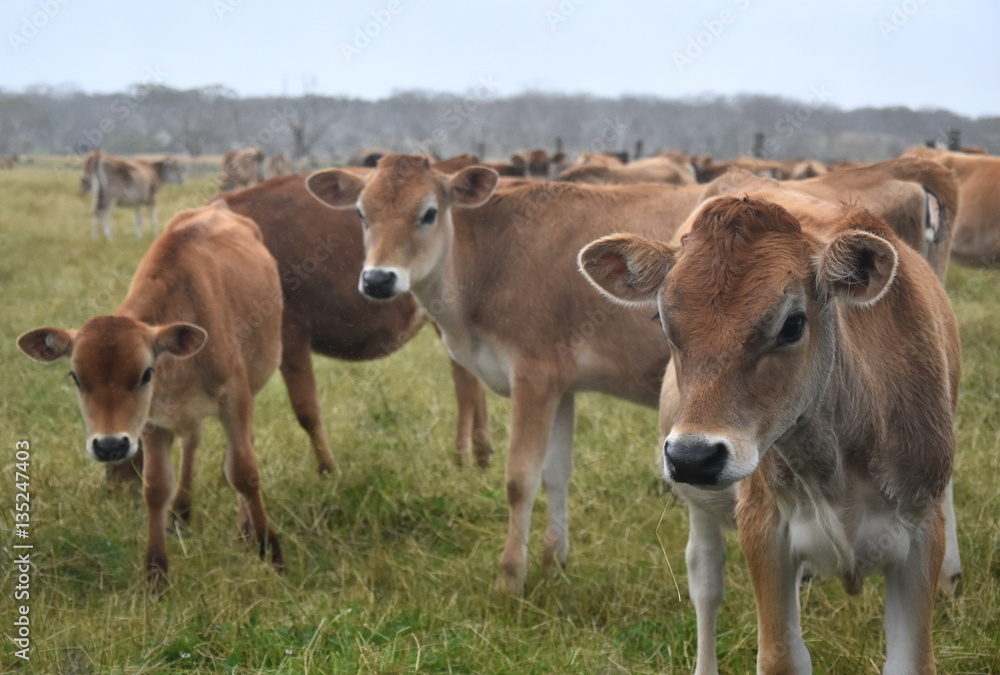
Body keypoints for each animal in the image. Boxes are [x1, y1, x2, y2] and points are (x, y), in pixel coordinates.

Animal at [19, 202, 286, 580]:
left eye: (146, 373)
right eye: (76, 377)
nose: (110, 446)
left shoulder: (235, 396)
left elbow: (244, 472)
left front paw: (270, 550)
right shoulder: (151, 422)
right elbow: (156, 488)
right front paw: (156, 573)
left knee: (241, 447)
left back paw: (244, 527)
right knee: (191, 443)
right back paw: (182, 515)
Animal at [218, 173, 492, 470]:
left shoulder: (289, 334)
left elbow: (306, 409)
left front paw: (328, 471)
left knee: (466, 385)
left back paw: (463, 458)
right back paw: (483, 455)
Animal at [304, 156, 712, 596]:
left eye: (429, 213)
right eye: (362, 214)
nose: (378, 279)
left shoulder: (534, 375)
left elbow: (520, 479)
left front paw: (511, 577)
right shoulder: (561, 385)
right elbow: (555, 472)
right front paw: (554, 562)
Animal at [580, 193, 960, 672]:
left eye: (792, 324)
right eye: (662, 322)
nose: (692, 456)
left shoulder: (921, 530)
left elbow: (912, 659)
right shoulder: (764, 527)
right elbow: (781, 655)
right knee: (705, 582)